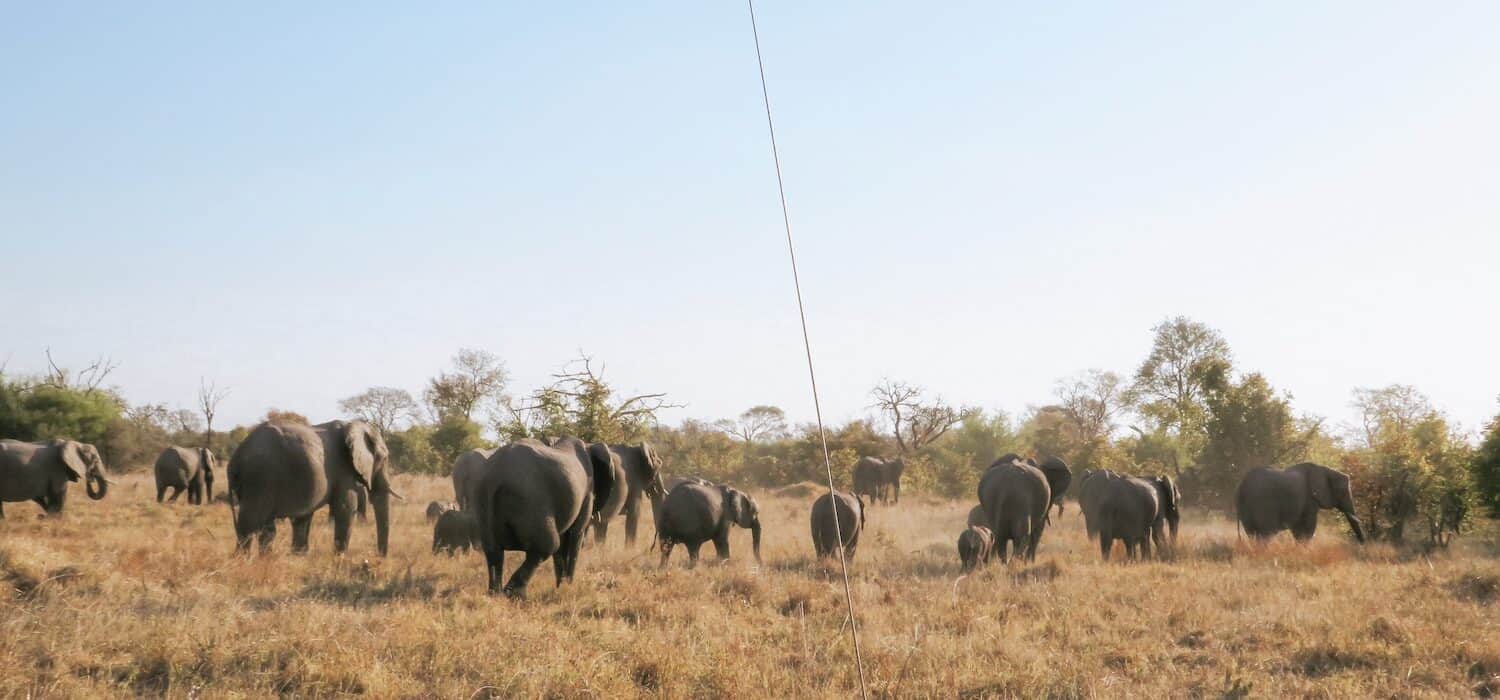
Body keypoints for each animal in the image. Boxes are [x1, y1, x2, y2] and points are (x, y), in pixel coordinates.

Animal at [225, 419, 396, 557]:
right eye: (385, 458)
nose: (380, 557)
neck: (354, 425)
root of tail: (236, 458)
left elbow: (303, 518)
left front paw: (298, 556)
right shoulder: (344, 471)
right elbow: (346, 508)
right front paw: (340, 558)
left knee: (266, 528)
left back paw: (264, 559)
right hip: (259, 478)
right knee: (249, 524)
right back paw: (242, 561)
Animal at [465, 437, 612, 596]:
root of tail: (495, 476)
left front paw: (560, 588)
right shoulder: (587, 494)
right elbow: (575, 535)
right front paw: (566, 588)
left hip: (483, 498)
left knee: (493, 551)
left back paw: (496, 595)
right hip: (531, 501)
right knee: (548, 545)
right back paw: (514, 595)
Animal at [1236, 461, 1368, 545]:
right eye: (1342, 491)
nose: (1362, 544)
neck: (1325, 469)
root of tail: (1242, 485)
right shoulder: (1310, 499)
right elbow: (1307, 527)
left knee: (1253, 533)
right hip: (1262, 502)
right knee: (1266, 533)